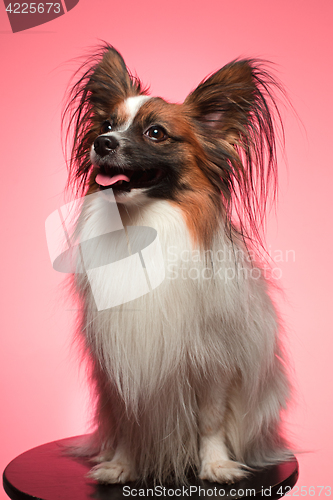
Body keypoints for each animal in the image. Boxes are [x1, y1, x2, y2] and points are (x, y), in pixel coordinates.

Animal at [62, 46, 290, 484]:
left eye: (156, 133)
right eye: (108, 124)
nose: (102, 142)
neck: (143, 224)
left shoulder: (214, 360)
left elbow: (211, 421)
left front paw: (216, 465)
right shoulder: (124, 364)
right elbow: (129, 422)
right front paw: (121, 464)